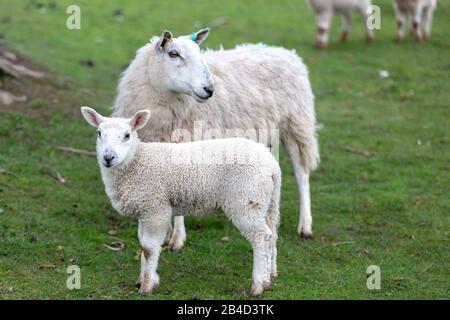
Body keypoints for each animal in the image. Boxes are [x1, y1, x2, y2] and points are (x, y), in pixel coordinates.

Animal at [79, 106, 280, 296]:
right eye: (99, 133)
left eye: (127, 135)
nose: (108, 158)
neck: (136, 162)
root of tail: (271, 164)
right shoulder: (145, 209)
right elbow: (142, 244)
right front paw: (143, 279)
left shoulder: (156, 209)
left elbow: (149, 248)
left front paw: (146, 286)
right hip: (267, 202)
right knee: (271, 235)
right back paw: (268, 279)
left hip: (246, 200)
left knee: (261, 238)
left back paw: (257, 286)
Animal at [112, 28, 320, 251]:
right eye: (173, 53)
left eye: (199, 52)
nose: (209, 89)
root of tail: (284, 52)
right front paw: (165, 233)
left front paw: (177, 239)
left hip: (295, 126)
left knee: (301, 174)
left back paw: (305, 225)